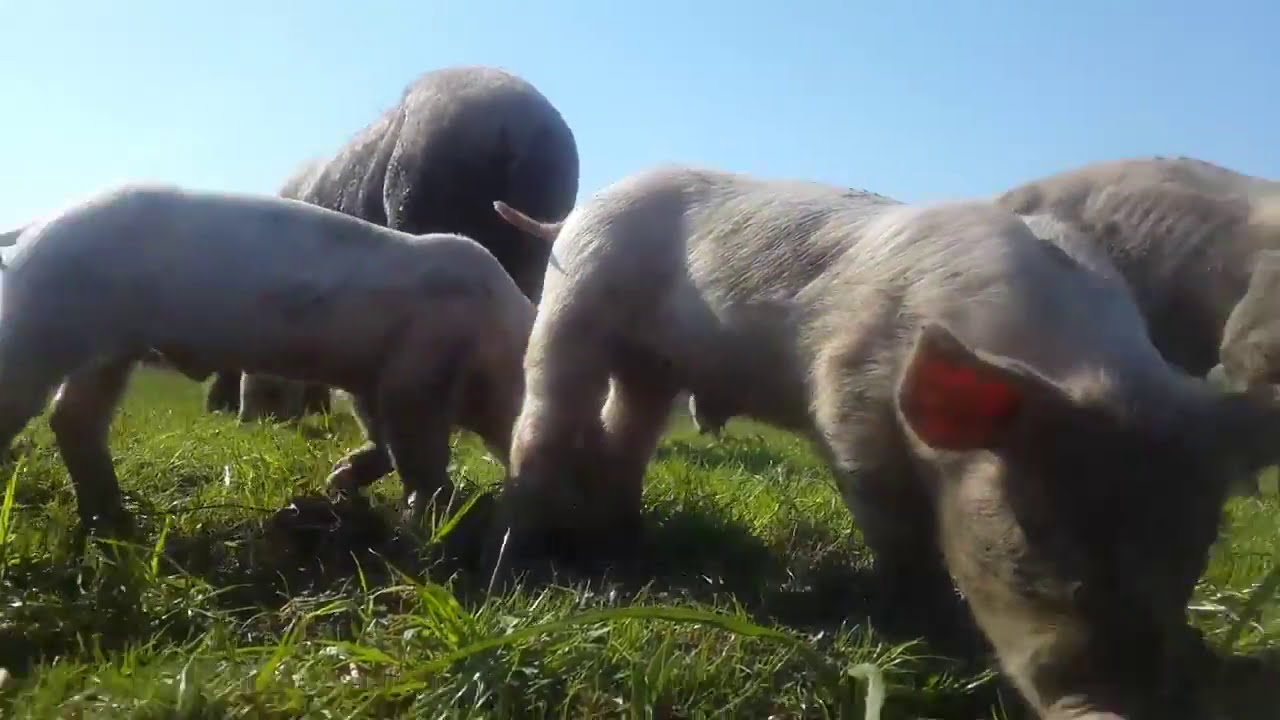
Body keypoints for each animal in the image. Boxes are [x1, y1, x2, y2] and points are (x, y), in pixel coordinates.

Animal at [0, 183, 537, 536]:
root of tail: (37, 224)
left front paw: (339, 481)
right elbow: (417, 451)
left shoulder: (372, 378)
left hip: (109, 348)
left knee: (73, 418)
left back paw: (117, 523)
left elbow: (382, 439)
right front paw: (427, 522)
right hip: (46, 322)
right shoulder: (417, 371)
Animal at [488, 166, 1280, 719]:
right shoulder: (848, 398)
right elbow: (898, 532)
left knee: (626, 437)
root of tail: (581, 209)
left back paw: (630, 542)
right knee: (544, 413)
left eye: (1197, 550)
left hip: (653, 368)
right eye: (1031, 531)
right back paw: (534, 547)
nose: (1117, 707)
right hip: (574, 305)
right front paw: (926, 628)